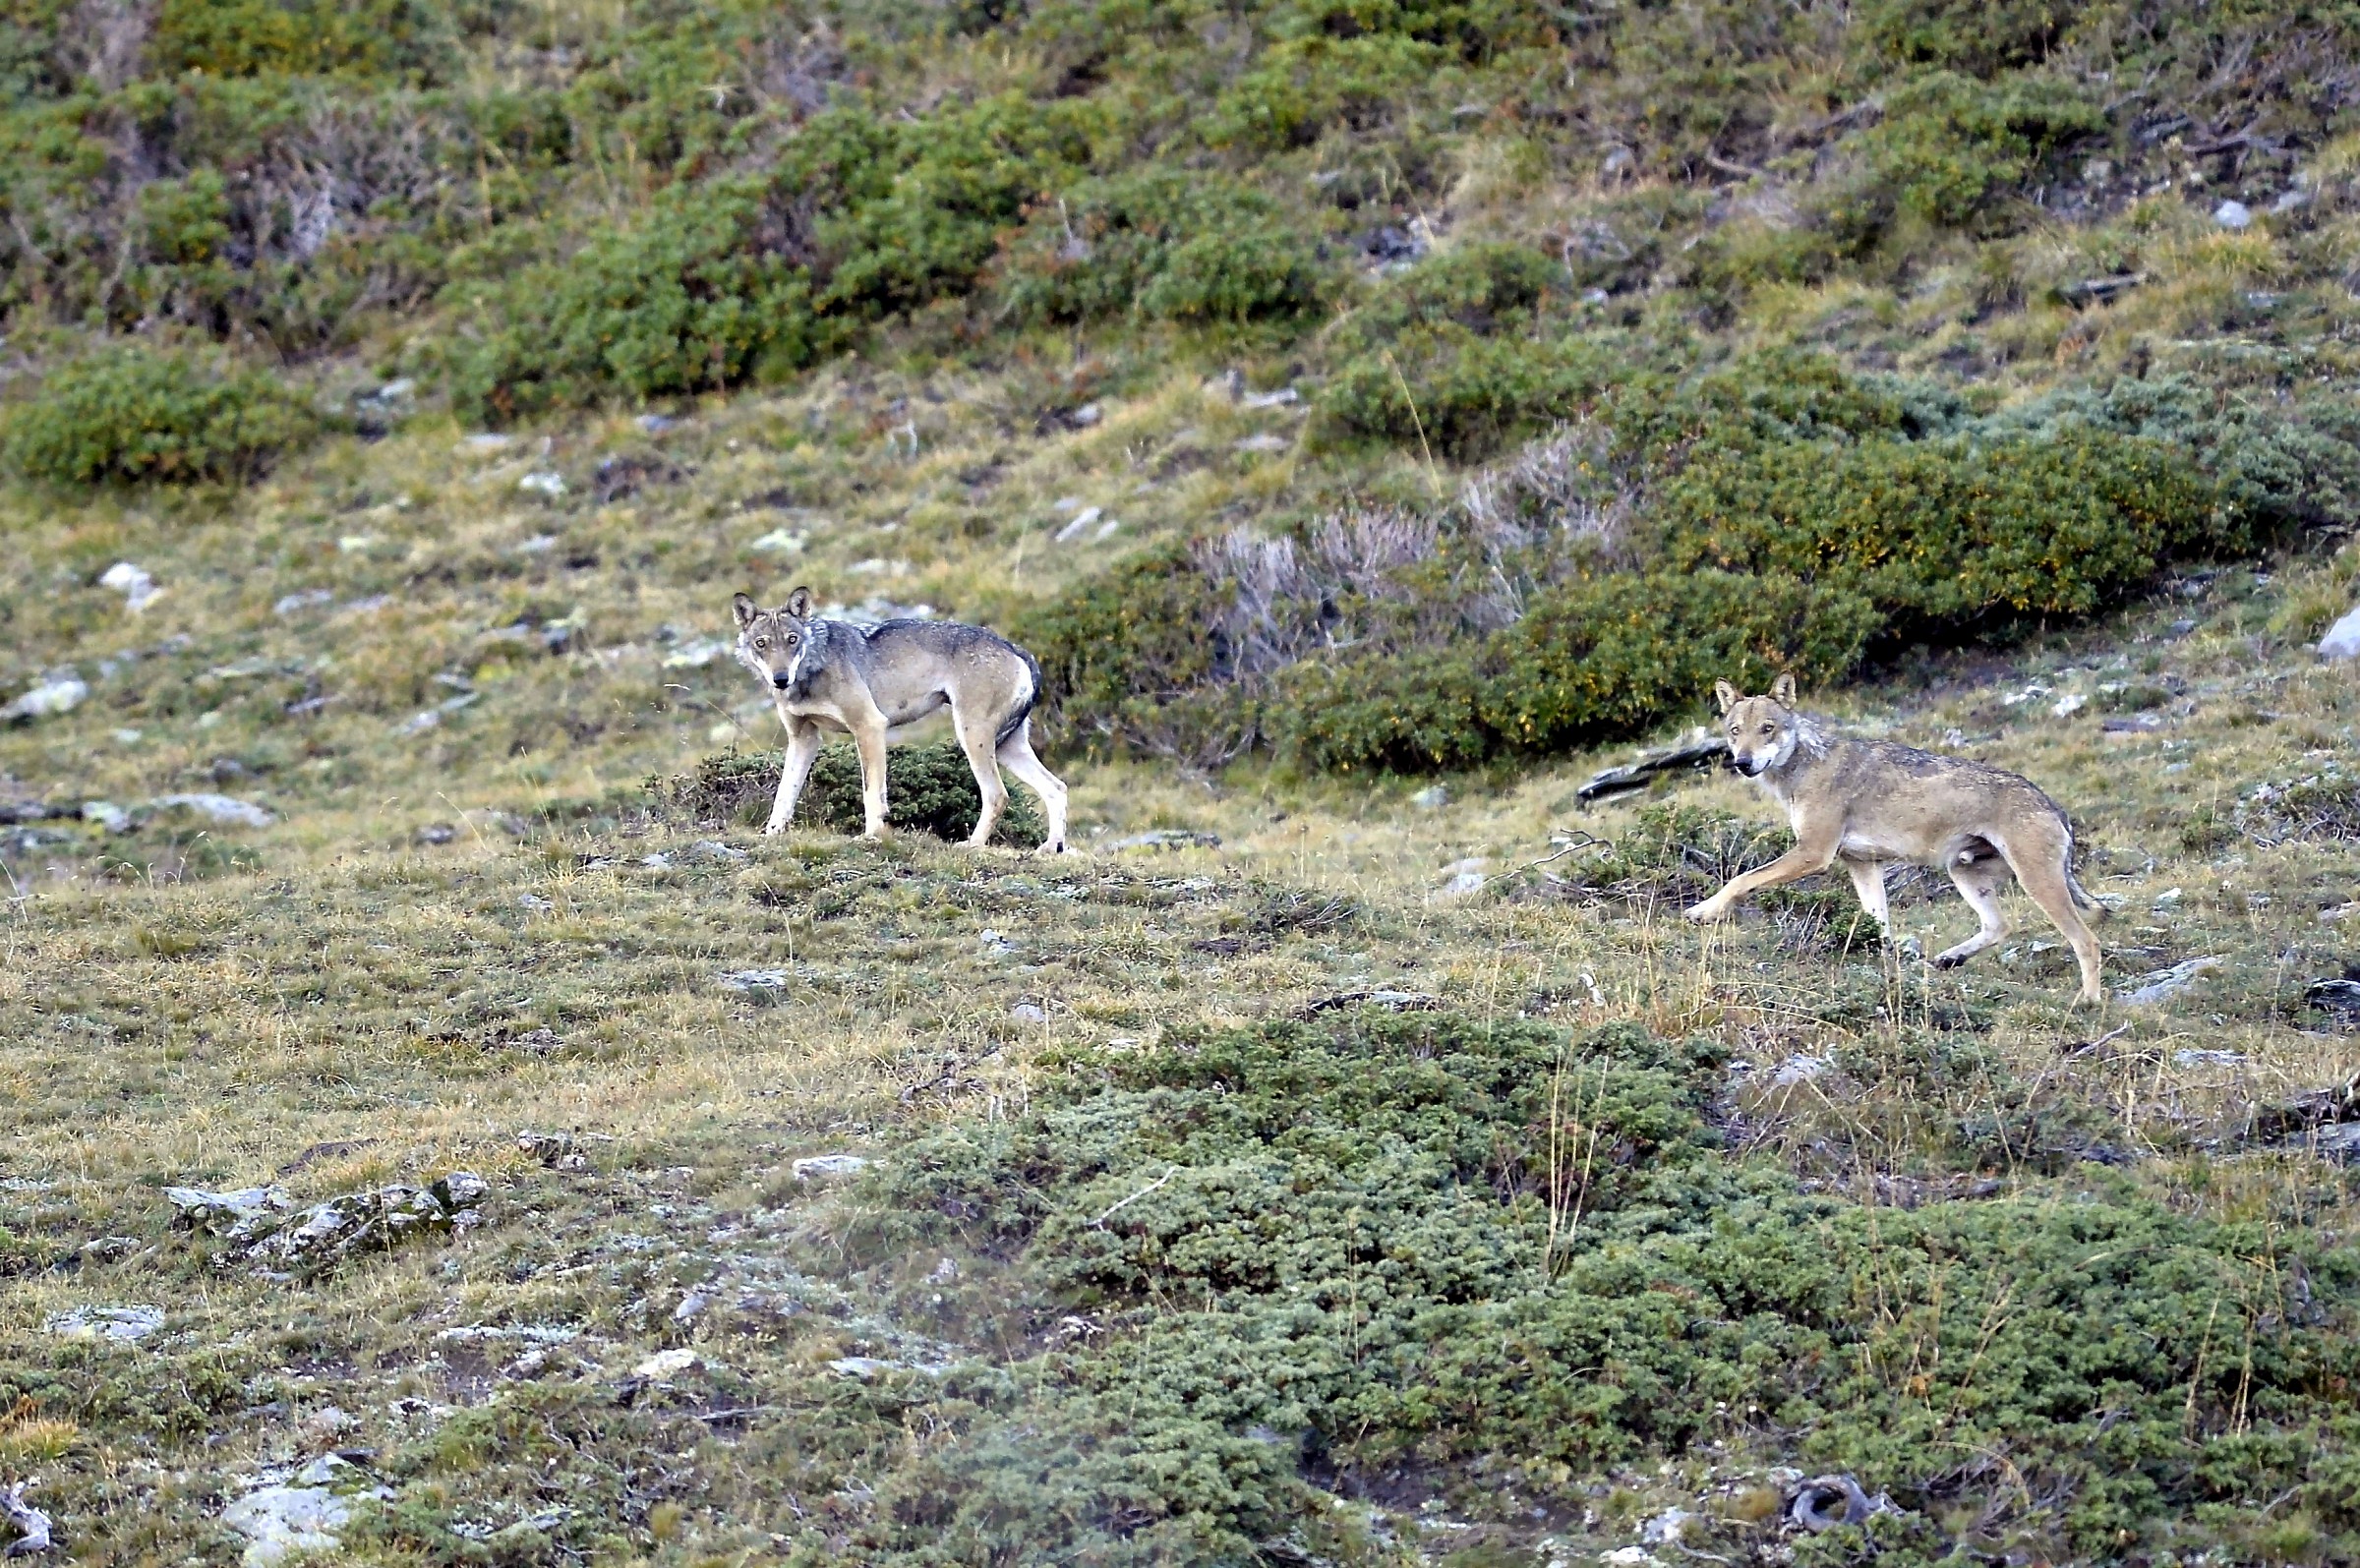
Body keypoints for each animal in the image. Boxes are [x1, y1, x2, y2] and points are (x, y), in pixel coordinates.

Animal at [730, 588, 1070, 853]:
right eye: (762, 644)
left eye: (792, 640)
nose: (780, 679)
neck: (812, 668)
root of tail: (1016, 648)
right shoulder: (804, 738)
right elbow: (784, 794)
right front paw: (771, 834)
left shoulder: (869, 726)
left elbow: (871, 793)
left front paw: (871, 836)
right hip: (1006, 747)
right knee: (1057, 787)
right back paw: (1050, 848)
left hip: (972, 737)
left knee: (998, 795)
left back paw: (973, 845)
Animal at [1683, 675, 2104, 1005]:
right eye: (1736, 731)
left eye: (1768, 728)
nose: (1743, 763)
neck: (1803, 768)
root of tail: (2053, 805)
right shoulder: (1862, 864)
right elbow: (1879, 928)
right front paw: (1887, 967)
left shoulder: (1813, 854)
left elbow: (1741, 879)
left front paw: (1704, 911)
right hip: (1963, 874)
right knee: (1999, 927)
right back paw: (1949, 959)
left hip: (2035, 884)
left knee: (2087, 941)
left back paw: (2088, 1002)